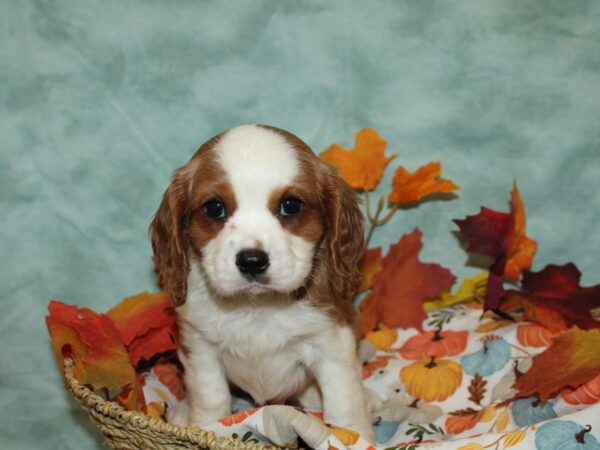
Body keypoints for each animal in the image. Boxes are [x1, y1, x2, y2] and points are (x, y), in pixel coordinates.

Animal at [150, 125, 376, 442]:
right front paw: (205, 428)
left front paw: (355, 437)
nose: (252, 261)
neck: (257, 305)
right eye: (214, 208)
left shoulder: (332, 345)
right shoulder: (201, 347)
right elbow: (211, 398)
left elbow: (344, 407)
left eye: (290, 205)